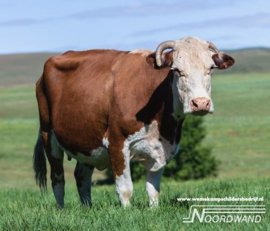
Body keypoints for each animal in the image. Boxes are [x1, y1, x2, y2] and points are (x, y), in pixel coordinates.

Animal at [33, 36, 234, 208]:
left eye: (210, 69)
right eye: (176, 70)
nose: (200, 103)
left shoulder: (162, 147)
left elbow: (153, 189)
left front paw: (154, 210)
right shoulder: (116, 142)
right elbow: (125, 188)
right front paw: (127, 212)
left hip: (87, 141)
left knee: (82, 177)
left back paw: (87, 208)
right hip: (48, 135)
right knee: (58, 179)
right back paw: (61, 210)